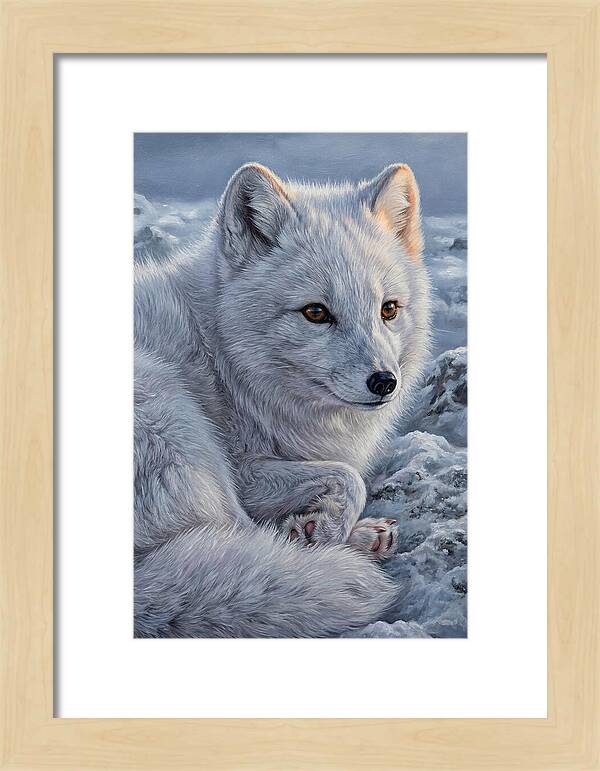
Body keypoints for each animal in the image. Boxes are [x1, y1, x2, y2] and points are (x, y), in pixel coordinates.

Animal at [134, 161, 431, 637]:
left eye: (389, 309)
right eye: (315, 312)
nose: (385, 382)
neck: (222, 358)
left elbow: (344, 476)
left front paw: (319, 526)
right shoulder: (243, 470)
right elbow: (350, 477)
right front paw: (322, 531)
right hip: (175, 418)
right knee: (242, 538)